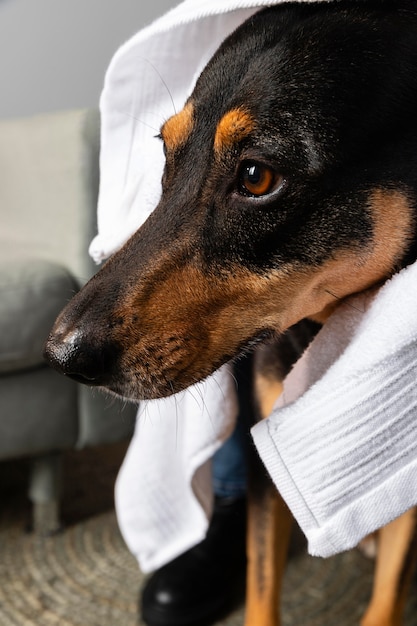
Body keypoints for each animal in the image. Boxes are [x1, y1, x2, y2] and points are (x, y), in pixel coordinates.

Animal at [43, 2, 417, 620]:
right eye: (166, 156)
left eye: (256, 176)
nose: (61, 355)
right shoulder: (261, 456)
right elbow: (262, 588)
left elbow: (386, 599)